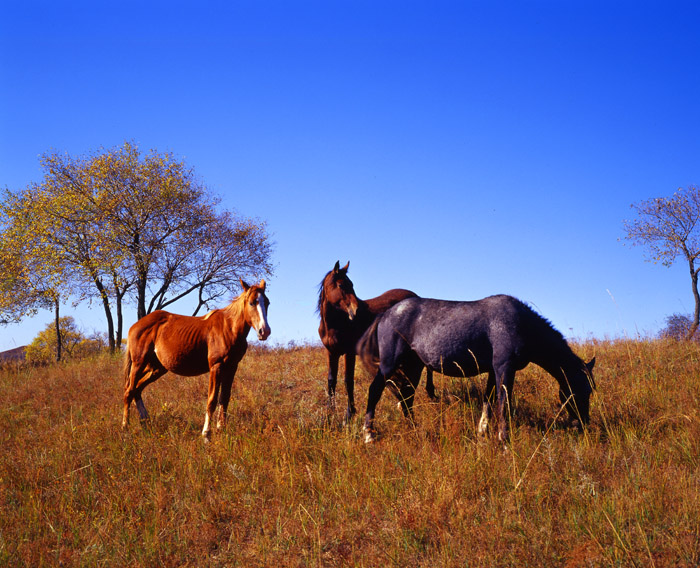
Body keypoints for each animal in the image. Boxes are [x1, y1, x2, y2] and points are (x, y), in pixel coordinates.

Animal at [123, 280, 270, 440]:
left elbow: (224, 399)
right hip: (139, 363)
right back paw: (125, 428)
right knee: (129, 391)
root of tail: (135, 326)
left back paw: (146, 423)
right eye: (251, 303)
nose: (264, 331)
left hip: (156, 368)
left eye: (267, 303)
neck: (229, 328)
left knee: (137, 389)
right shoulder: (216, 366)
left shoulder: (231, 367)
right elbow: (212, 400)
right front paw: (206, 434)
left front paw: (221, 431)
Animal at [316, 262, 434, 422]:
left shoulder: (349, 353)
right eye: (341, 285)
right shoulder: (331, 352)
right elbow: (331, 381)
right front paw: (329, 413)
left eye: (351, 284)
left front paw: (349, 415)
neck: (336, 324)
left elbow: (348, 381)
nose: (357, 310)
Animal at [358, 296, 592, 446]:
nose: (583, 423)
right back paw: (369, 435)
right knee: (375, 391)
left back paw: (415, 430)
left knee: (407, 398)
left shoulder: (493, 371)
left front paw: (483, 432)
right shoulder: (504, 368)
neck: (521, 323)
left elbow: (489, 400)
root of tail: (385, 314)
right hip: (389, 364)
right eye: (582, 391)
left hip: (413, 367)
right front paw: (504, 441)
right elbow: (503, 403)